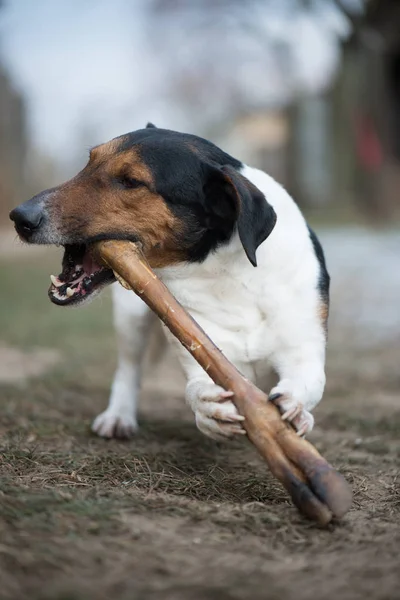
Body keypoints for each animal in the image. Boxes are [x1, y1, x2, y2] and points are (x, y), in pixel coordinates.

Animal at [9, 123, 330, 440]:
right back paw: (118, 415)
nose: (19, 217)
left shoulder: (303, 344)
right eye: (89, 162)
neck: (224, 270)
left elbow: (309, 379)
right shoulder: (202, 349)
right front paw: (207, 406)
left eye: (130, 181)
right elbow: (197, 386)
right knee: (129, 368)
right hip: (131, 317)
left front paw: (296, 408)